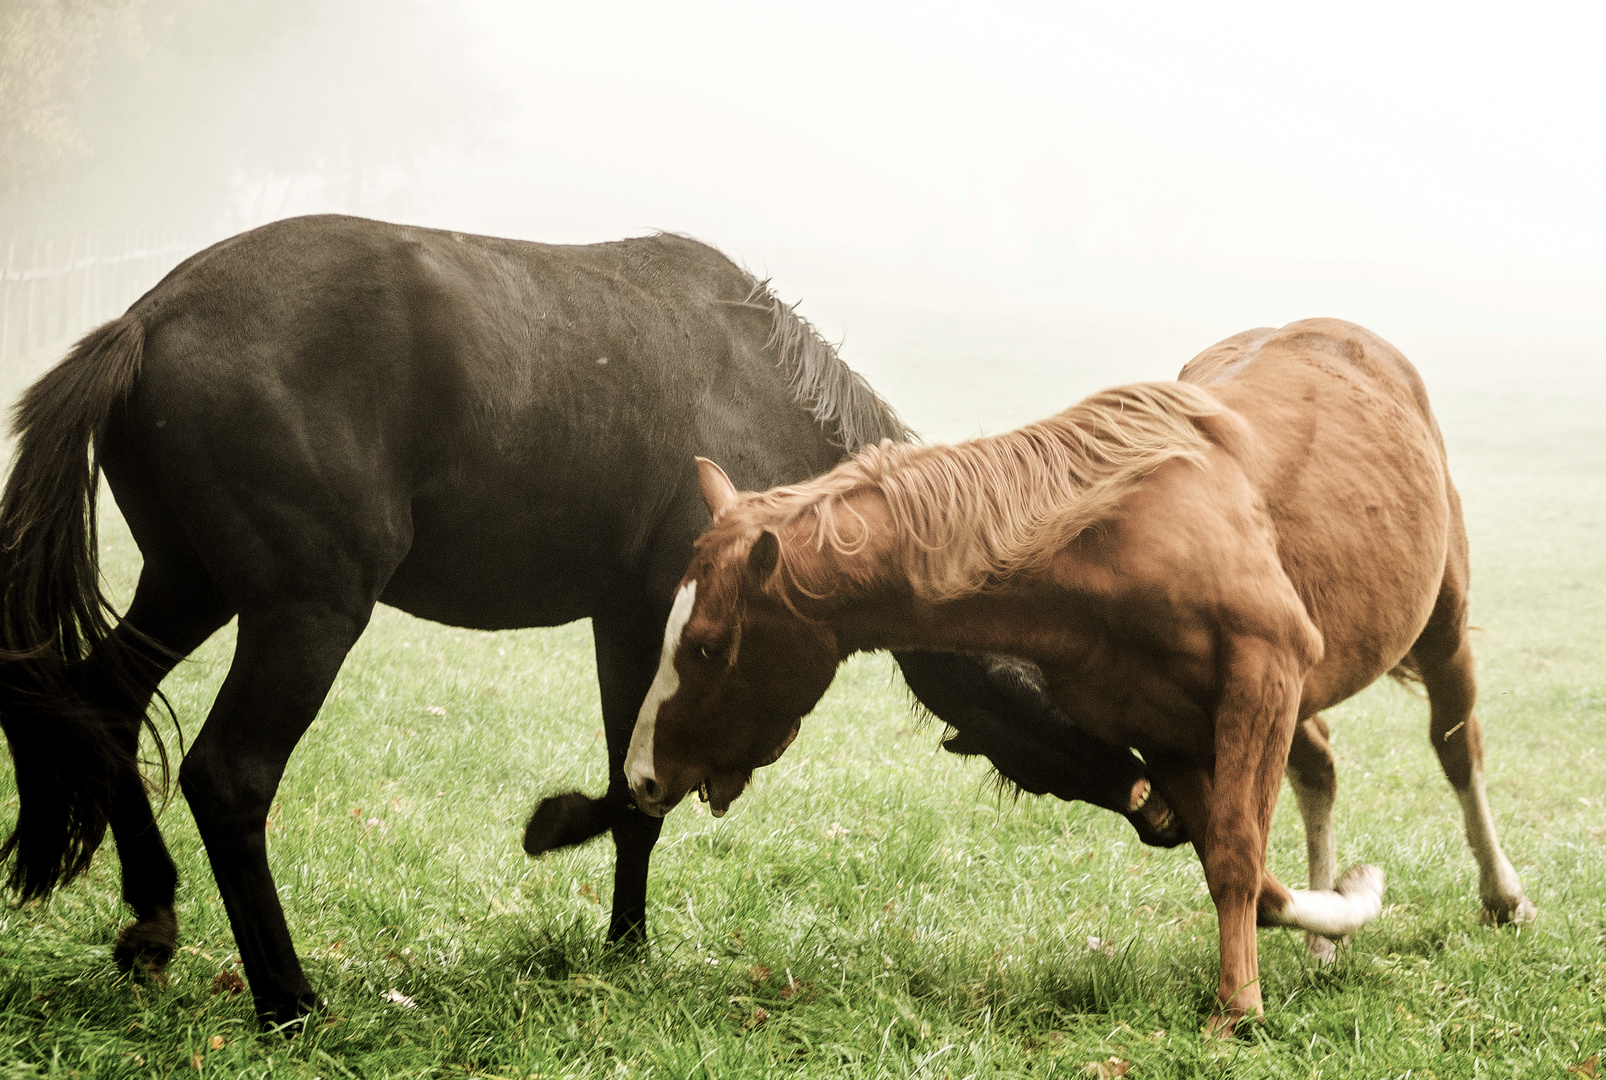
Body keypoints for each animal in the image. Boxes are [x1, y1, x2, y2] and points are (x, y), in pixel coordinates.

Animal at [0, 213, 1169, 1028]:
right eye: (1069, 679)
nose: (1165, 804)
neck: (762, 393)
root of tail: (148, 318)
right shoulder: (672, 619)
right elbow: (642, 785)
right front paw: (563, 835)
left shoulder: (629, 619)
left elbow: (637, 783)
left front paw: (626, 943)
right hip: (305, 611)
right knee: (228, 776)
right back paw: (288, 1001)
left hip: (190, 584)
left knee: (100, 701)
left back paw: (153, 917)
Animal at [623, 323, 1528, 1035]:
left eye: (706, 647)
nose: (640, 776)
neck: (1112, 537)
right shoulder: (1167, 730)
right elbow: (1235, 866)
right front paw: (1341, 906)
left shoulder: (1263, 671)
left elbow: (1239, 854)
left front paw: (1242, 1005)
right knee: (1321, 768)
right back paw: (1325, 939)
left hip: (1439, 623)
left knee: (1458, 745)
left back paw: (1502, 896)